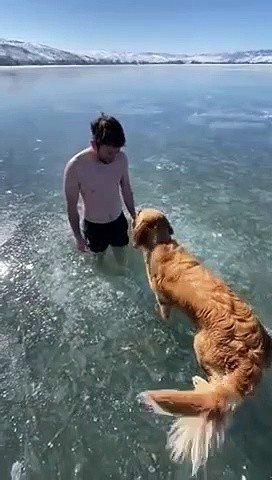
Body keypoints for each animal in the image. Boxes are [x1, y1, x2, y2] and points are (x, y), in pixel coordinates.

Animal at [132, 207, 272, 476]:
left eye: (138, 213)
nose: (132, 210)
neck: (162, 243)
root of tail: (251, 356)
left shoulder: (162, 298)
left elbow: (162, 308)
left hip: (200, 344)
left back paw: (201, 383)